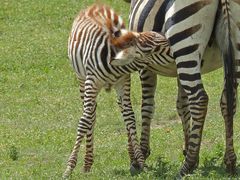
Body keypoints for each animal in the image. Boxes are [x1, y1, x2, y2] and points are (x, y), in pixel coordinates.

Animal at [62, 3, 171, 178]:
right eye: (154, 50)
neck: (112, 63)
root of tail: (97, 5)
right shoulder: (91, 82)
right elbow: (84, 121)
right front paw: (69, 168)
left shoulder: (123, 82)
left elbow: (130, 118)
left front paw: (140, 161)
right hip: (81, 80)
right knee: (91, 114)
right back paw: (87, 163)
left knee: (123, 112)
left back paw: (130, 155)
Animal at [118, 0, 240, 177]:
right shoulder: (178, 67)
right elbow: (182, 106)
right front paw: (189, 150)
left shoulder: (145, 64)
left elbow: (147, 106)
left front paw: (141, 155)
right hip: (232, 47)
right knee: (228, 101)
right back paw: (229, 161)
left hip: (185, 43)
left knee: (199, 100)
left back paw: (186, 167)